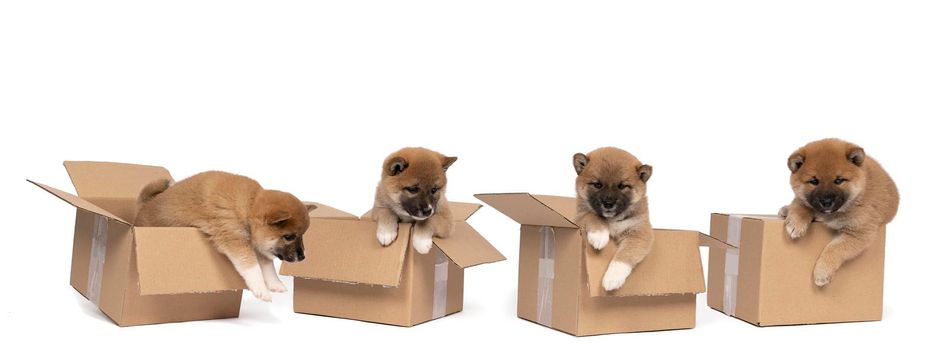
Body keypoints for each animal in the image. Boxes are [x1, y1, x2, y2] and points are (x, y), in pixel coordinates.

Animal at [134, 172, 318, 300]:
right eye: (289, 237)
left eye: (302, 236)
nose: (302, 257)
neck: (248, 206)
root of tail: (142, 208)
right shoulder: (235, 240)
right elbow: (253, 268)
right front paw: (261, 290)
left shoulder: (257, 245)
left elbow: (267, 266)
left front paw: (275, 284)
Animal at [572, 148, 652, 292]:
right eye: (597, 184)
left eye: (622, 186)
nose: (608, 203)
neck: (612, 219)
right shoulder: (580, 216)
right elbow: (593, 216)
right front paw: (599, 236)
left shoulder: (639, 232)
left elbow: (625, 255)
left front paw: (612, 278)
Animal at [780, 138, 896, 286]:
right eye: (814, 181)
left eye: (839, 180)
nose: (826, 202)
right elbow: (802, 203)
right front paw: (796, 222)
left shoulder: (859, 233)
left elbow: (834, 248)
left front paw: (822, 272)